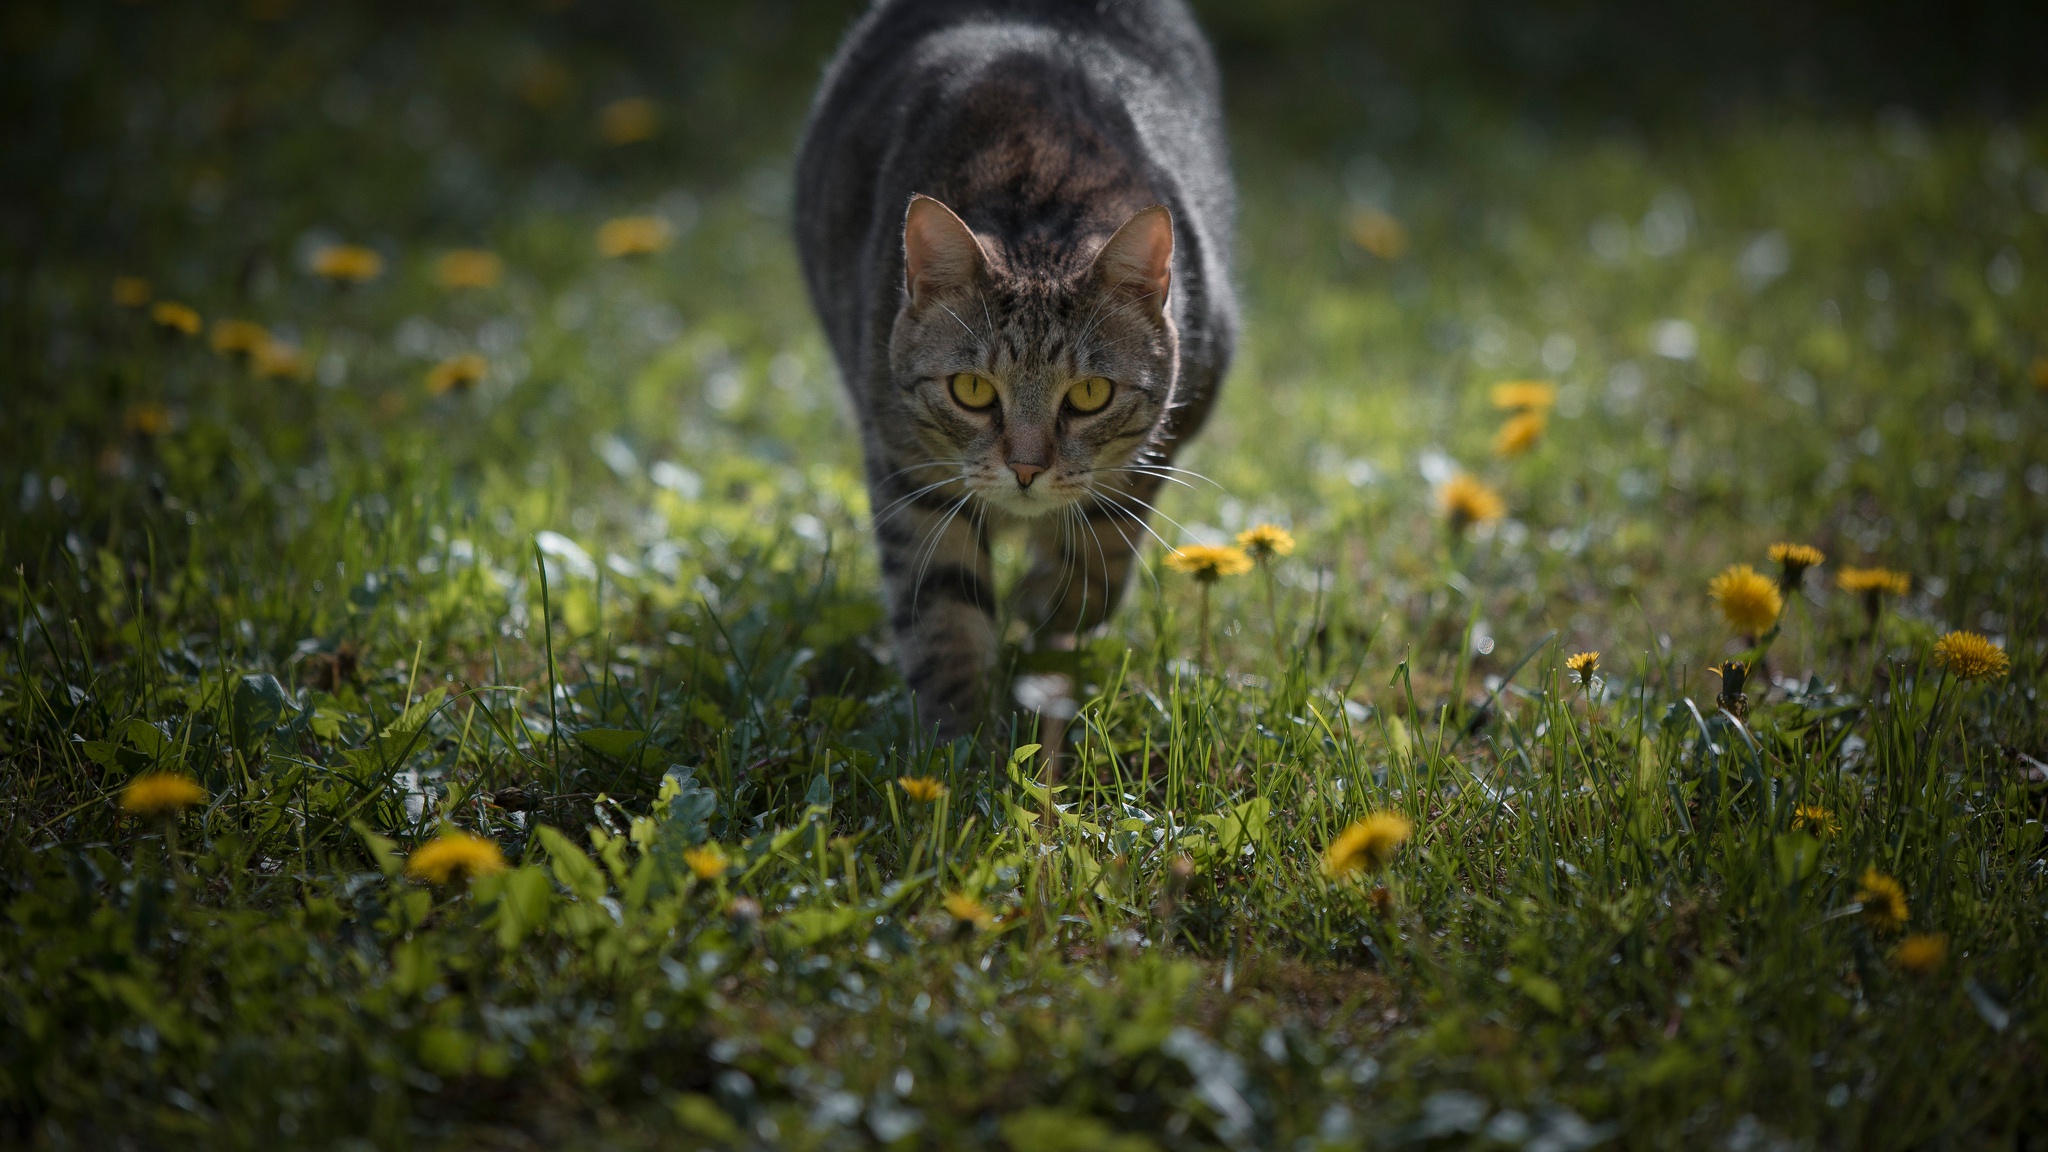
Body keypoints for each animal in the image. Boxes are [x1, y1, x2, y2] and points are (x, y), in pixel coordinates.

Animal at [790, 0, 1228, 733]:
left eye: (1090, 394)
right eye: (971, 389)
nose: (1026, 470)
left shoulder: (1171, 430)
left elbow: (1101, 558)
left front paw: (1050, 610)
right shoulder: (911, 472)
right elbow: (944, 618)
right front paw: (957, 742)